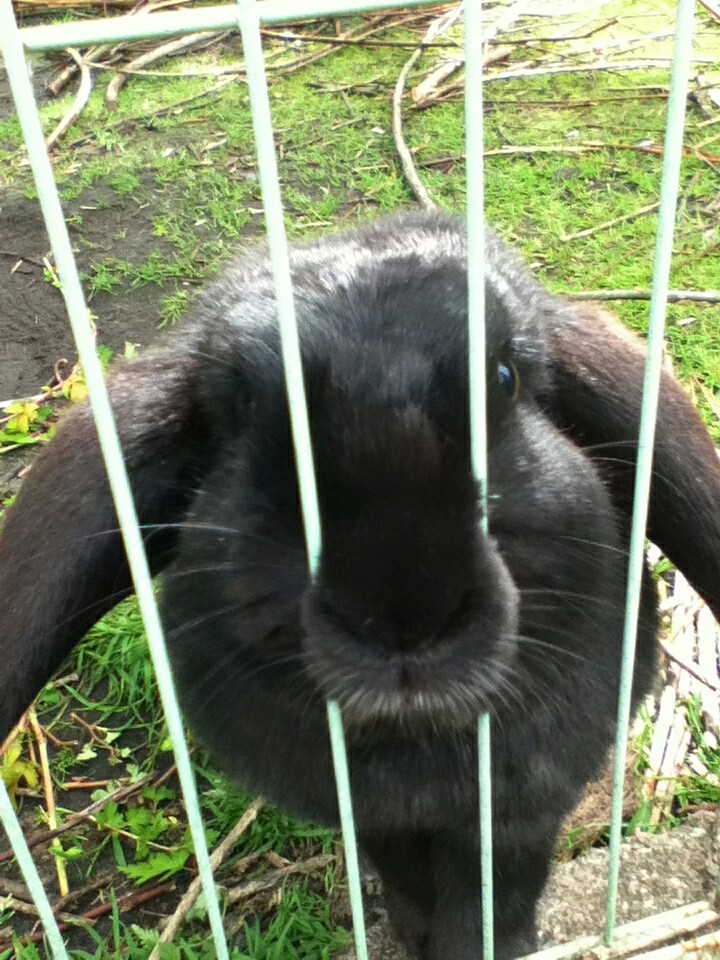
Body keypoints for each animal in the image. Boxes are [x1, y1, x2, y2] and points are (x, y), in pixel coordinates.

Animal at [1, 211, 720, 960]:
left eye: (505, 378)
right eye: (244, 410)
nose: (404, 611)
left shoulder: (522, 811)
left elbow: (494, 898)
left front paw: (494, 945)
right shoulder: (374, 818)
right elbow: (410, 885)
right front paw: (415, 938)